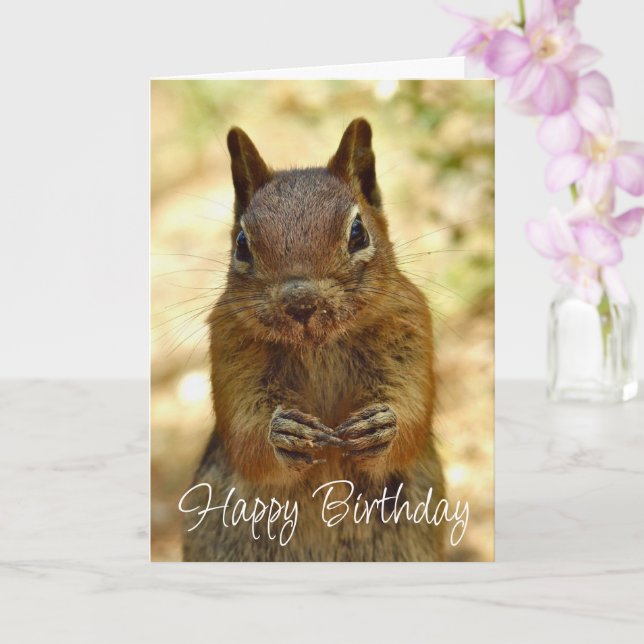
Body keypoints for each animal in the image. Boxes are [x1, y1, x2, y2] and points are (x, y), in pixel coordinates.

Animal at [182, 118, 446, 561]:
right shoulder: (230, 344)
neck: (319, 345)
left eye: (357, 232)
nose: (300, 301)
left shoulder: (410, 327)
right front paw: (283, 433)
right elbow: (244, 431)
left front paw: (383, 426)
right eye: (241, 243)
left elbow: (411, 409)